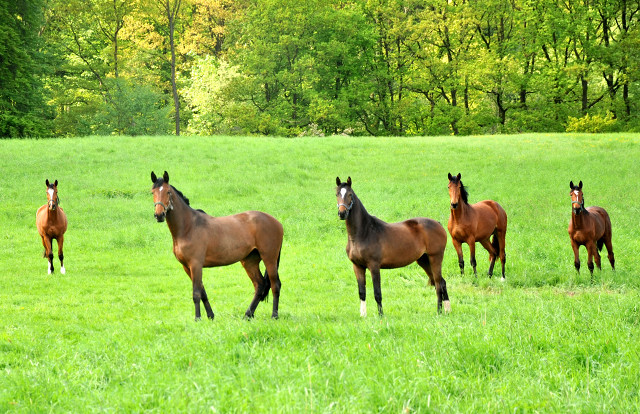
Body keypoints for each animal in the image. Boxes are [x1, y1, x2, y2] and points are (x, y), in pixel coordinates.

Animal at [151, 171, 284, 320]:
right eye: (152, 192)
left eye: (168, 192)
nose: (159, 215)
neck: (188, 227)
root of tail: (276, 222)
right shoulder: (187, 267)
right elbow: (202, 292)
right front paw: (210, 316)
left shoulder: (196, 265)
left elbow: (196, 293)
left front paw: (197, 318)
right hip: (250, 261)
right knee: (260, 285)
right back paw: (247, 315)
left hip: (269, 258)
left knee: (275, 285)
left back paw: (274, 316)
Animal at [336, 176, 450, 316]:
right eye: (337, 194)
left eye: (350, 195)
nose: (342, 213)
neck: (363, 233)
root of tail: (438, 224)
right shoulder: (357, 266)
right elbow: (362, 292)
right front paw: (363, 316)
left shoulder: (374, 266)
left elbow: (377, 293)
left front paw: (381, 316)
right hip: (424, 260)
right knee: (441, 282)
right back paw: (447, 310)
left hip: (435, 258)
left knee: (438, 283)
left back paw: (439, 312)